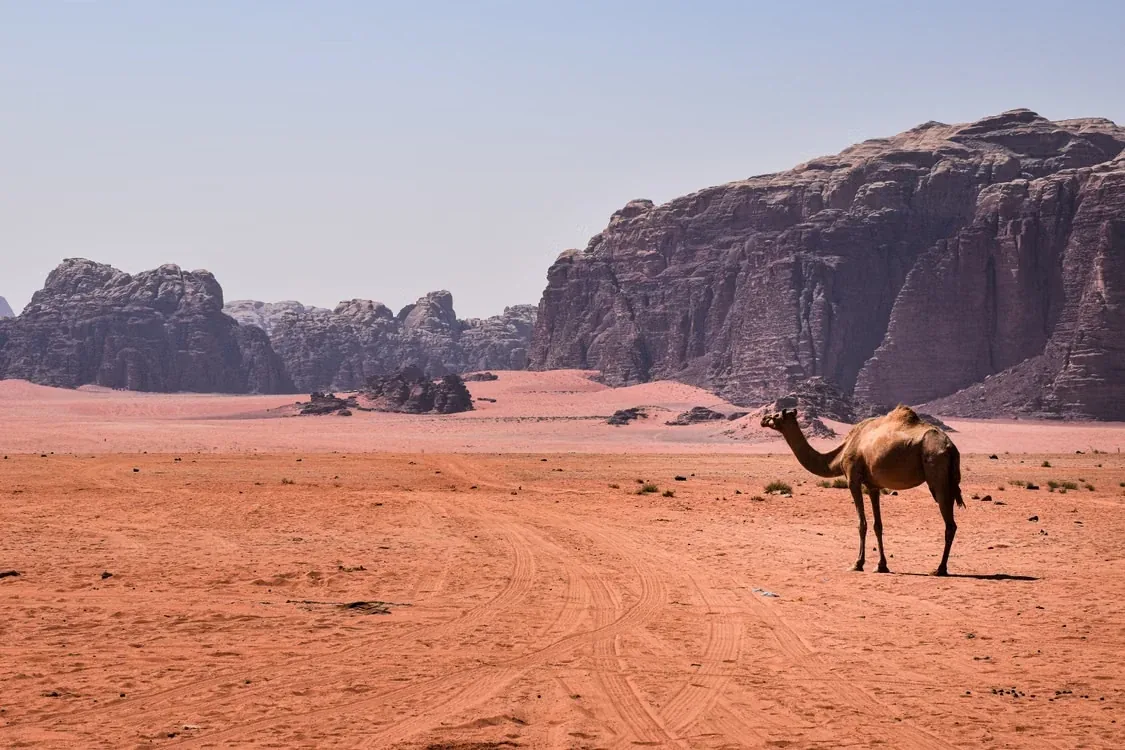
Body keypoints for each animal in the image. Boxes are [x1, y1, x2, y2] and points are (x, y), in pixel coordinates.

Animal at [760, 405, 964, 576]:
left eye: (776, 415)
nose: (763, 419)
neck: (841, 453)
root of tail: (950, 447)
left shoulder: (853, 479)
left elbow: (862, 523)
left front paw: (857, 563)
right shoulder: (873, 486)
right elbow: (877, 525)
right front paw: (881, 566)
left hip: (936, 472)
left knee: (950, 524)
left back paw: (939, 569)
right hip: (948, 479)